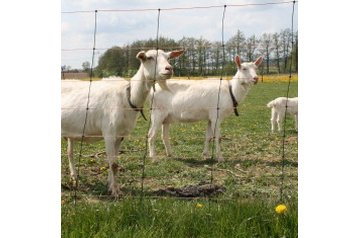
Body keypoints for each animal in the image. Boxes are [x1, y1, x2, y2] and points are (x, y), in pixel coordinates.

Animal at [61, 48, 183, 197]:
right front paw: (115, 191)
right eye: (148, 57)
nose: (169, 69)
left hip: (71, 132)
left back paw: (74, 177)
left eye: (168, 58)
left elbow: (113, 162)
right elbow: (113, 164)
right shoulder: (109, 133)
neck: (128, 97)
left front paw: (109, 185)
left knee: (70, 153)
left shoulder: (120, 136)